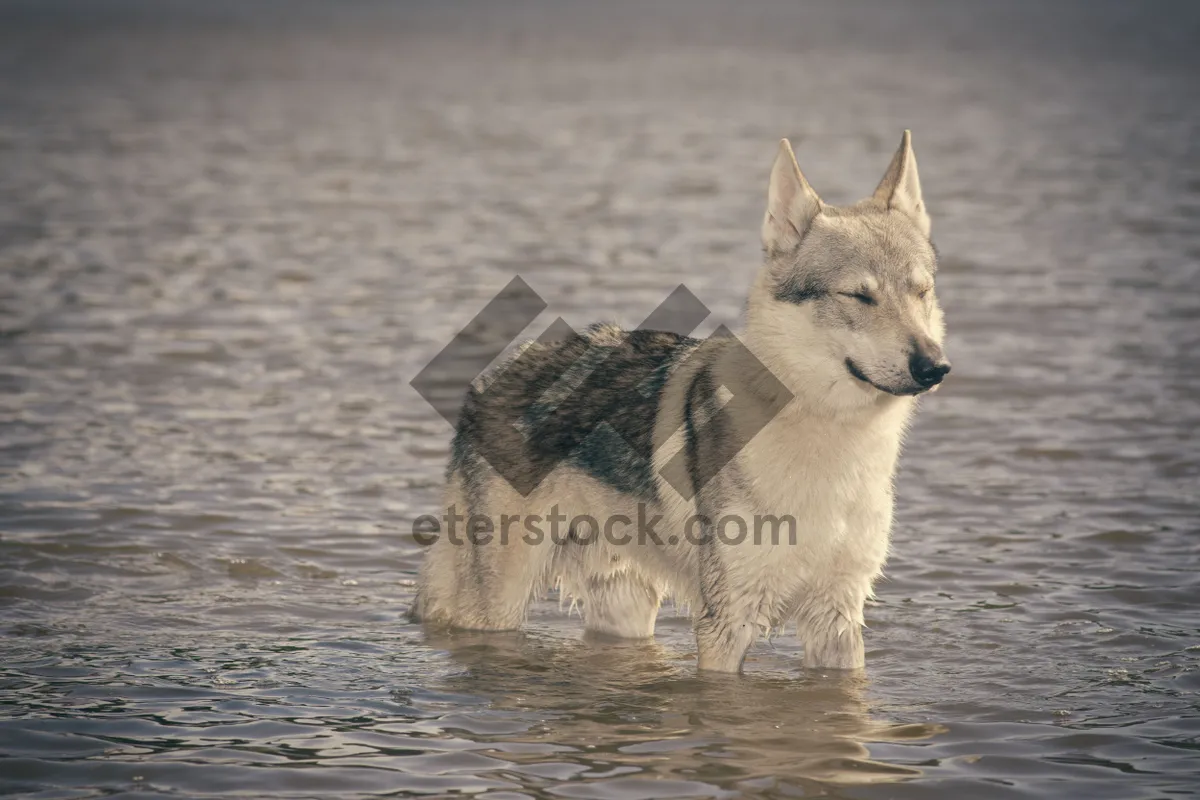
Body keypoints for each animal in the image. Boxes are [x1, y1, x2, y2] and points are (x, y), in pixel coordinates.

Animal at [412, 134, 945, 671]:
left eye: (921, 292)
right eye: (860, 296)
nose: (934, 367)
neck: (834, 441)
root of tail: (489, 377)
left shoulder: (838, 617)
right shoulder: (726, 622)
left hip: (625, 607)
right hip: (496, 608)